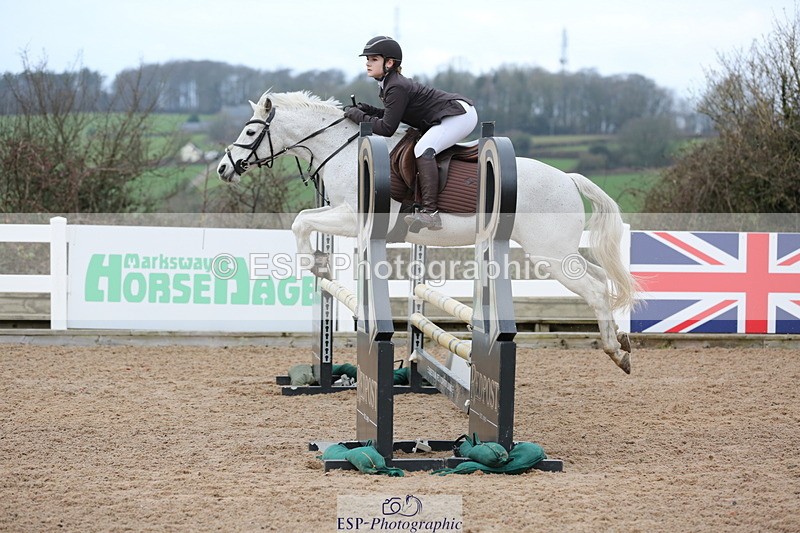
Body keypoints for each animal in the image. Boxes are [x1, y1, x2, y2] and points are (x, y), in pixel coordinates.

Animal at [216, 90, 638, 374]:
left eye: (251, 131)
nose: (223, 168)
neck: (344, 151)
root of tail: (568, 178)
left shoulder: (354, 218)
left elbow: (301, 220)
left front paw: (315, 264)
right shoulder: (339, 212)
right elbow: (303, 218)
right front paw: (320, 263)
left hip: (549, 255)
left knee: (596, 290)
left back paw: (615, 352)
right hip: (563, 252)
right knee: (602, 280)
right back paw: (622, 340)